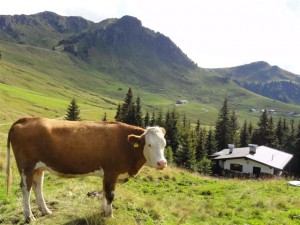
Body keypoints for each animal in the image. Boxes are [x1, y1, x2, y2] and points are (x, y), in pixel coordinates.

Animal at [5, 117, 168, 222]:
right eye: (149, 144)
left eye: (164, 144)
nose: (162, 163)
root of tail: (26, 119)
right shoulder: (111, 172)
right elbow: (110, 195)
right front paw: (109, 215)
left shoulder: (107, 175)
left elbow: (104, 193)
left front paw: (103, 211)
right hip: (26, 167)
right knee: (25, 189)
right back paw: (29, 216)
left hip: (39, 167)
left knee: (37, 186)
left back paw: (46, 211)